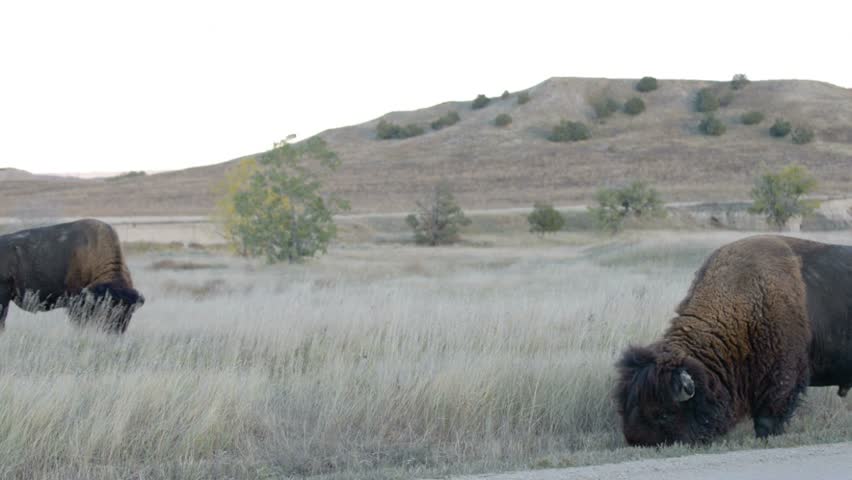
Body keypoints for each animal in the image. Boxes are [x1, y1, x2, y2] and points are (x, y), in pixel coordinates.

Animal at [615, 235, 852, 446]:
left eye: (662, 414)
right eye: (626, 409)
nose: (638, 441)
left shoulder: (782, 374)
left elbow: (770, 413)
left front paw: (766, 437)